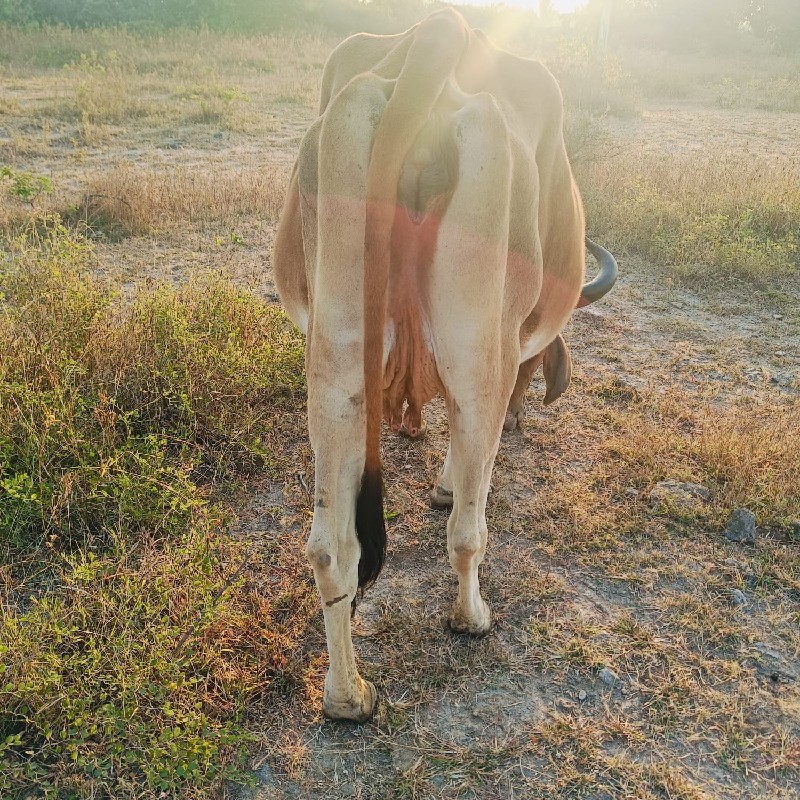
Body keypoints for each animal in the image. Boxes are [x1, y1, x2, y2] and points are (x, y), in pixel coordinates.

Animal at [274, 7, 620, 720]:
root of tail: (437, 39)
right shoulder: (498, 362)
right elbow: (465, 473)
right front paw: (444, 483)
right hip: (476, 355)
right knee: (467, 530)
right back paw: (471, 617)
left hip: (335, 372)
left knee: (330, 549)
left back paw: (347, 697)